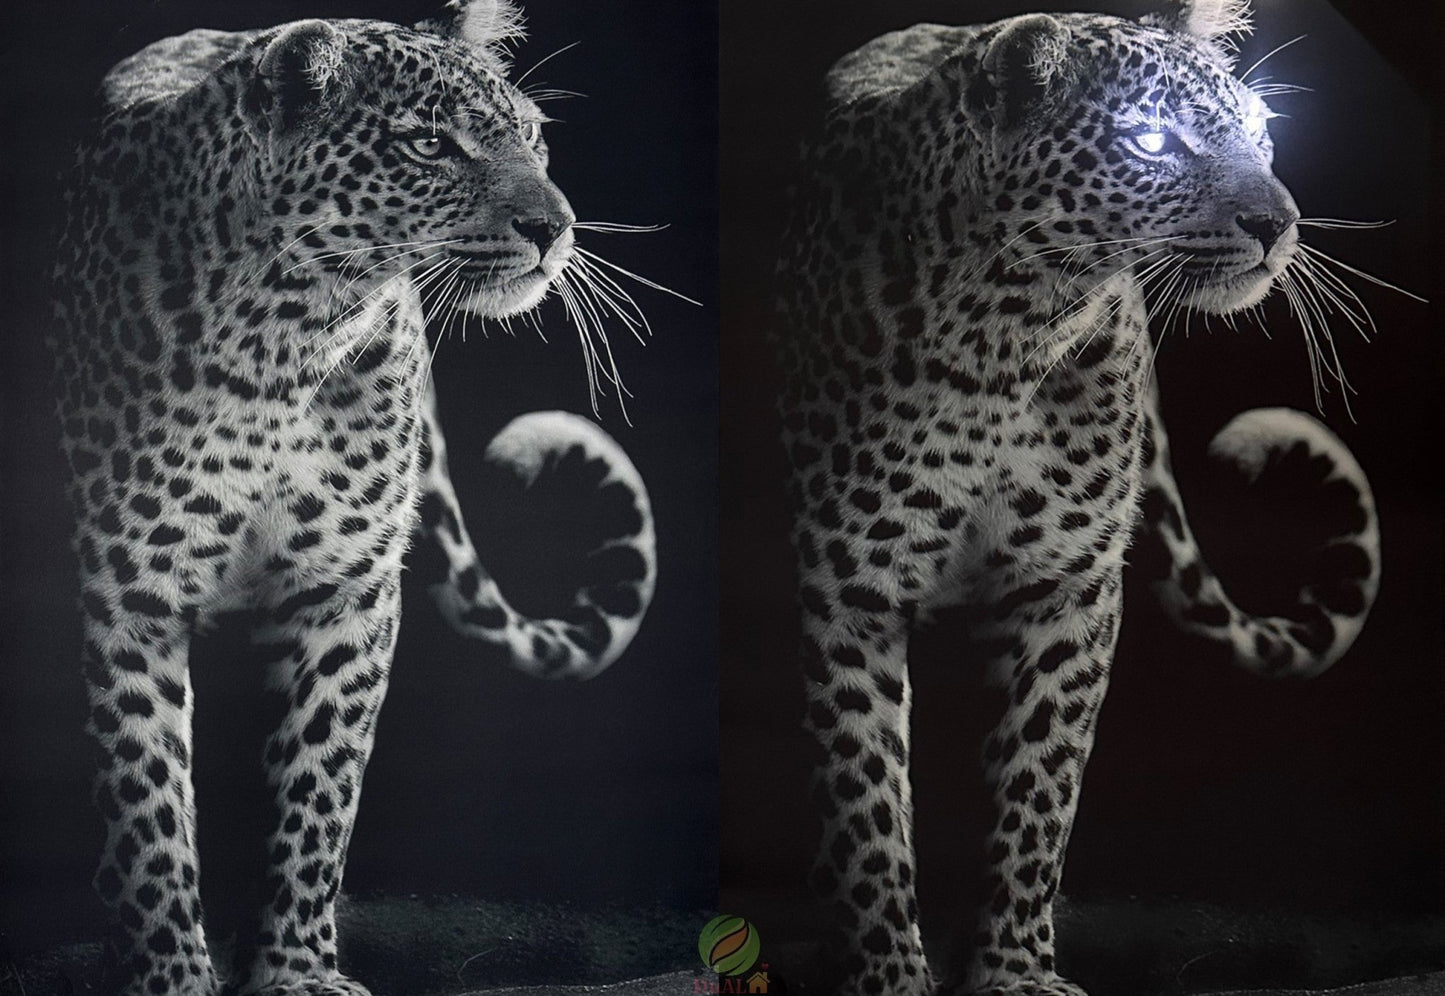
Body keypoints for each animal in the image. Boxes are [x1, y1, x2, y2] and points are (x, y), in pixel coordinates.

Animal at [46, 2, 657, 993]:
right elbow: (148, 812)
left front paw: (296, 969)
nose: (554, 227)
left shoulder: (346, 590)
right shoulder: (127, 598)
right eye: (429, 145)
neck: (283, 339)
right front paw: (174, 973)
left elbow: (320, 786)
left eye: (531, 135)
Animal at [772, 1, 1382, 993]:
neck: (1004, 333)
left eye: (1262, 133)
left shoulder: (1068, 587)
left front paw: (1014, 970)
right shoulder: (847, 588)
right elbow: (864, 801)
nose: (1277, 223)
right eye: (1151, 141)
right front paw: (888, 972)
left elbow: (1039, 784)